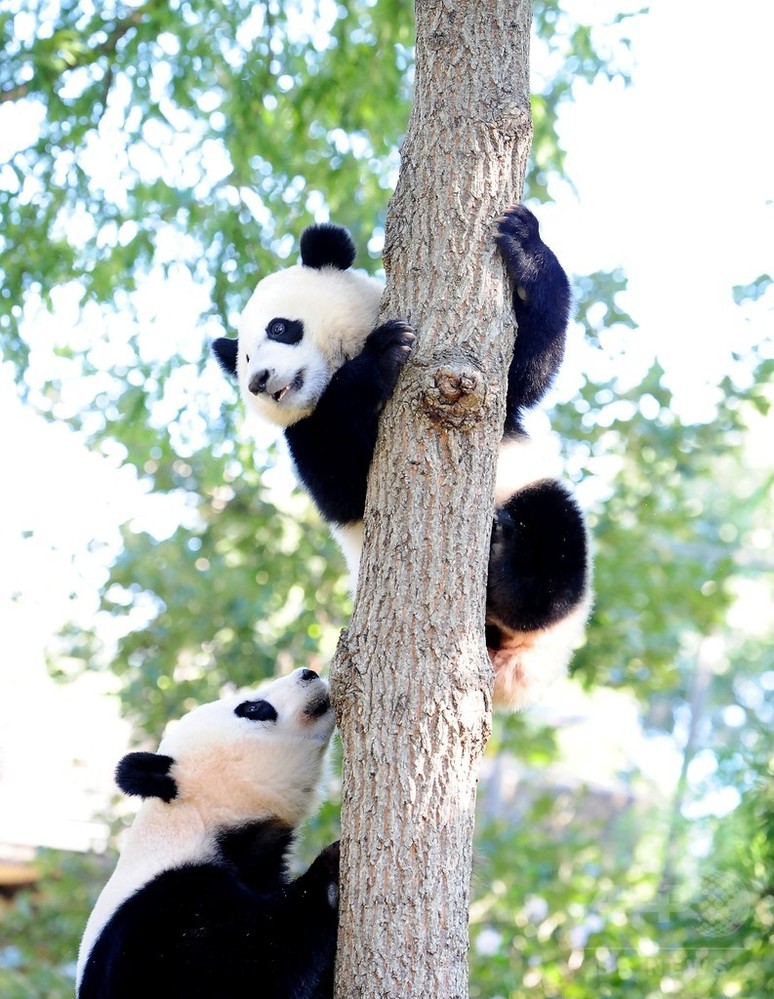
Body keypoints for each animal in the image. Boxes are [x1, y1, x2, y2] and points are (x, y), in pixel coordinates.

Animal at [78, 668, 340, 999]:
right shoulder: (163, 918)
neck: (195, 823)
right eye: (252, 708)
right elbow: (248, 963)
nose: (309, 673)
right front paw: (330, 872)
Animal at [215, 209, 592, 712]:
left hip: (525, 491)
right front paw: (381, 356)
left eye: (279, 328)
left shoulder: (493, 394)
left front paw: (523, 239)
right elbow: (341, 486)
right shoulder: (304, 433)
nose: (259, 380)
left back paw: (503, 564)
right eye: (243, 359)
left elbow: (528, 368)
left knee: (555, 541)